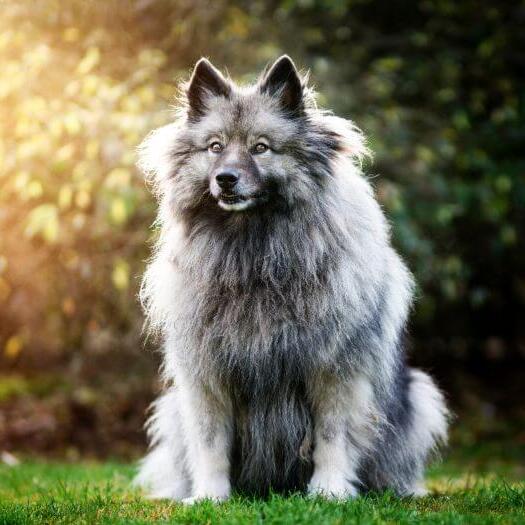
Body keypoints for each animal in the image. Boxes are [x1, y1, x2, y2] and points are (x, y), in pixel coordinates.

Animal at [134, 55, 446, 502]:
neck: (255, 255)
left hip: (419, 395)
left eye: (261, 148)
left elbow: (332, 435)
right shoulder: (206, 375)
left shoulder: (335, 370)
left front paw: (330, 490)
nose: (225, 178)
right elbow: (210, 441)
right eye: (215, 147)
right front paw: (210, 495)